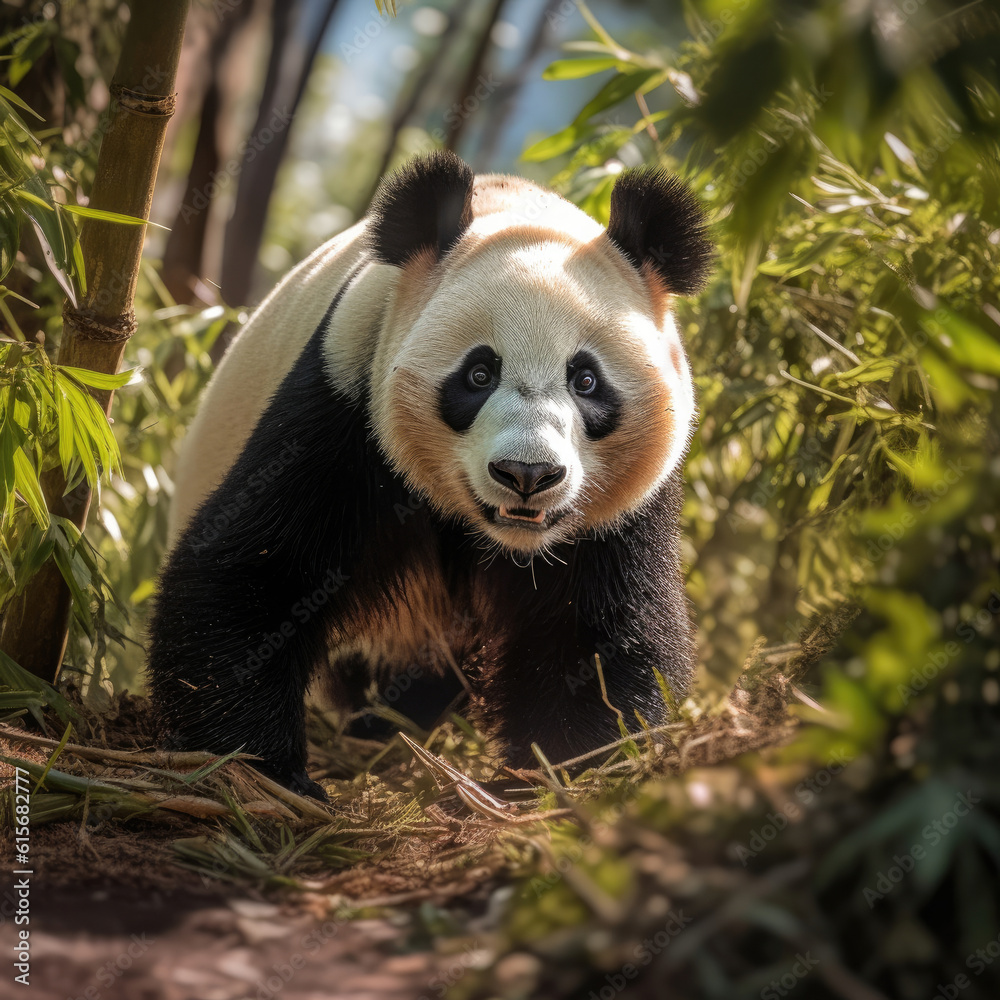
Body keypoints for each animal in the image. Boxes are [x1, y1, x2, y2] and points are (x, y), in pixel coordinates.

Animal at [146, 152, 712, 800]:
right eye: (479, 373)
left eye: (586, 380)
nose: (526, 473)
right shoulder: (346, 401)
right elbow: (258, 574)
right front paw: (265, 768)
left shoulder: (623, 510)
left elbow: (594, 633)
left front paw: (550, 775)